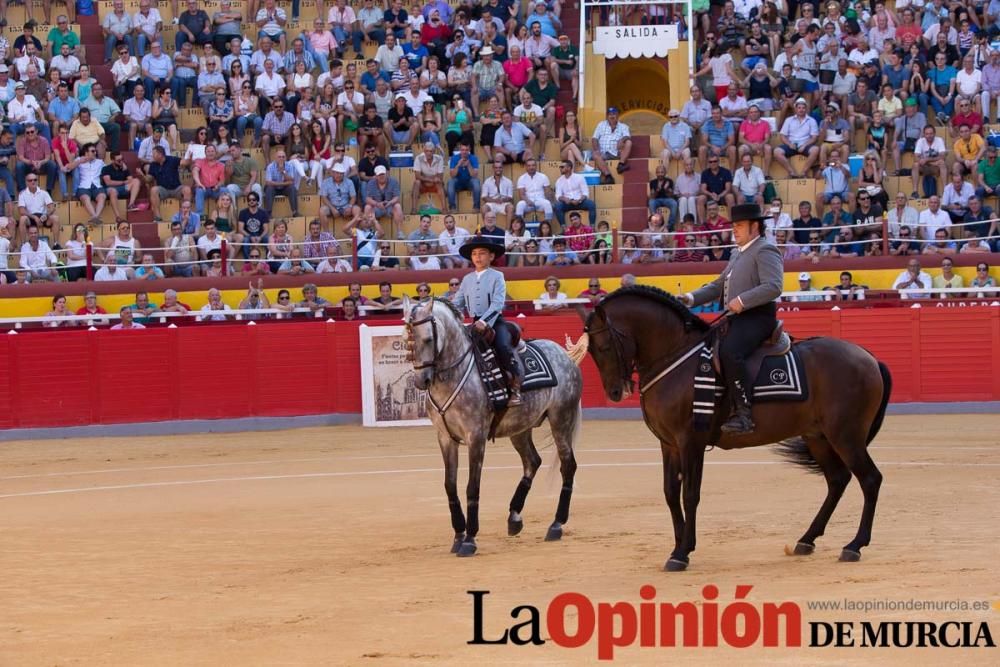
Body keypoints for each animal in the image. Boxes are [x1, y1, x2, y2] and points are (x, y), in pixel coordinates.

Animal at [402, 294, 584, 556]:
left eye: (427, 339)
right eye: (407, 340)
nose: (421, 380)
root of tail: (565, 356)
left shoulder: (475, 436)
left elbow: (472, 486)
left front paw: (469, 540)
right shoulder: (445, 437)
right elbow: (450, 485)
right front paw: (458, 536)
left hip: (562, 419)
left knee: (568, 466)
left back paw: (556, 525)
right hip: (521, 427)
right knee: (532, 461)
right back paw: (514, 518)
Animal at [580, 288, 892, 576]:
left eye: (605, 346)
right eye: (591, 350)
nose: (615, 392)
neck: (676, 358)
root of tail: (869, 358)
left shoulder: (690, 441)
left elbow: (690, 493)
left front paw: (682, 553)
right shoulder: (668, 444)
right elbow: (670, 492)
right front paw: (680, 544)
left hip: (846, 435)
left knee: (870, 479)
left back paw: (854, 545)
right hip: (818, 437)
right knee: (837, 480)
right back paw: (807, 540)